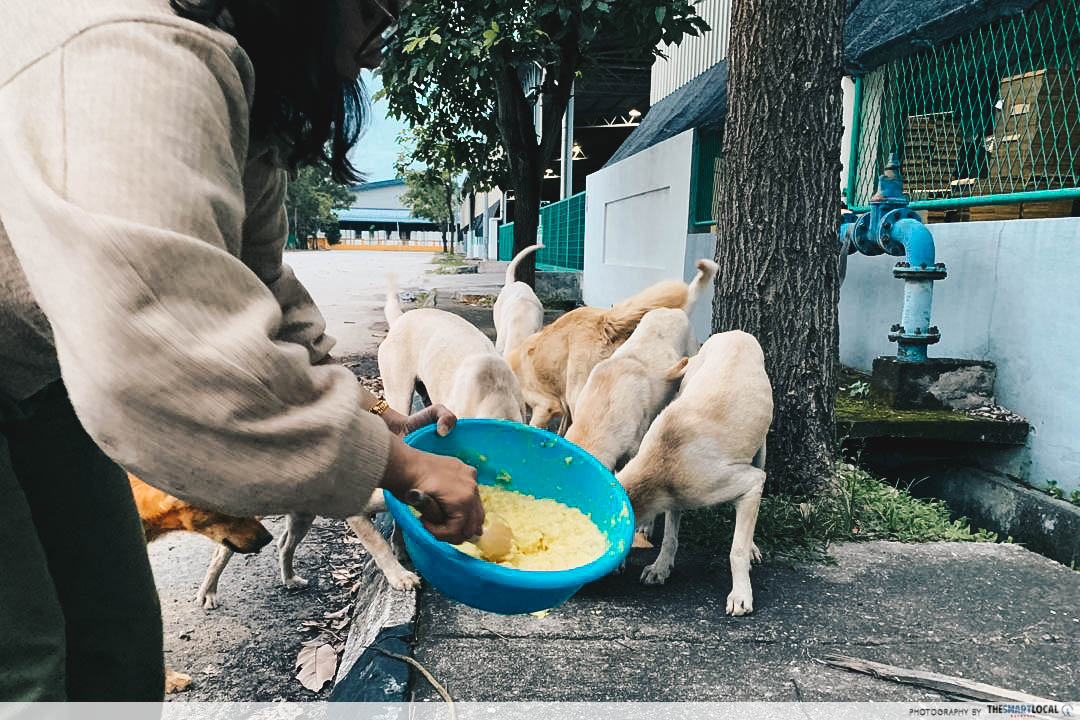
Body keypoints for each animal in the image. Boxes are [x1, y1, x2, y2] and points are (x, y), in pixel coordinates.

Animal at [613, 332, 773, 621]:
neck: (660, 465)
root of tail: (736, 333)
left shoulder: (748, 481)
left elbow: (737, 549)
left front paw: (741, 595)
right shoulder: (676, 496)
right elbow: (670, 535)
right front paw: (661, 568)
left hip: (761, 449)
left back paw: (753, 547)